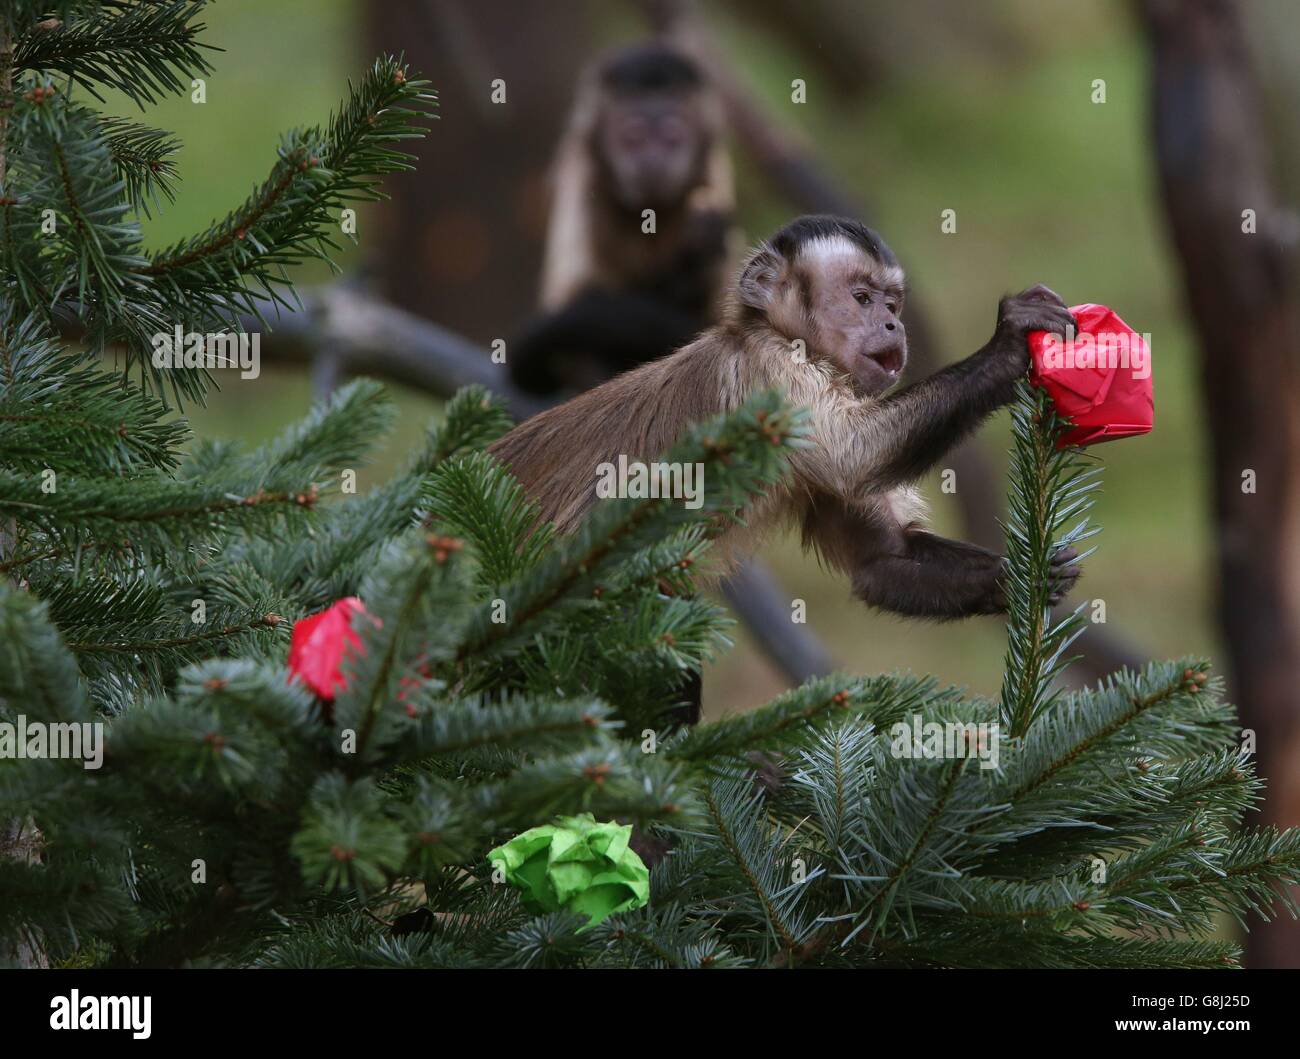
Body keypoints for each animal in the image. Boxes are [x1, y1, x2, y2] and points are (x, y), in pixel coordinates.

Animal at [491, 215, 1081, 628]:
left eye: (892, 303)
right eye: (862, 299)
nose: (893, 324)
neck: (778, 336)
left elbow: (883, 558)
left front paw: (1024, 576)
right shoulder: (772, 373)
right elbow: (853, 455)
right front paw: (1006, 347)